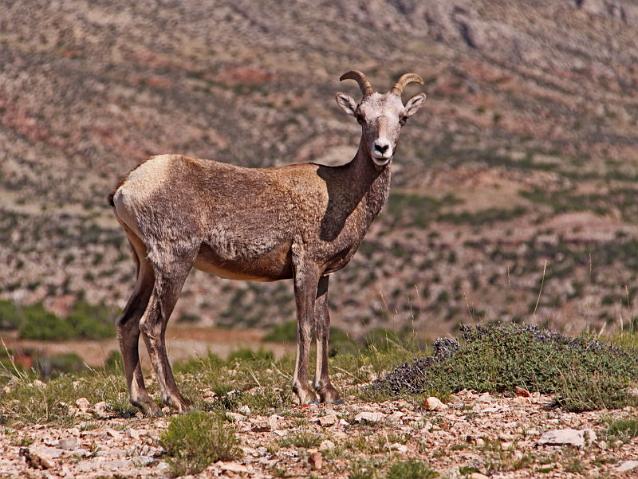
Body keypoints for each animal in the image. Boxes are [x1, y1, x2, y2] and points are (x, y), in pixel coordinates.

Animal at [110, 71, 430, 416]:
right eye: (361, 116)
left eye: (402, 117)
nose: (381, 149)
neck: (341, 194)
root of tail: (127, 187)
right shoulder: (306, 266)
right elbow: (305, 324)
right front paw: (305, 392)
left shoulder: (324, 275)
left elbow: (323, 326)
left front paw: (329, 392)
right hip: (175, 263)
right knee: (152, 325)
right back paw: (178, 400)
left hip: (145, 265)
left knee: (128, 323)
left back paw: (145, 403)